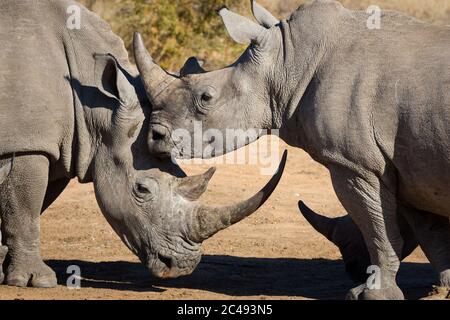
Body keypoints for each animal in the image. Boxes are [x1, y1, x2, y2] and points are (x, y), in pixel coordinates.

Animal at [0, 0, 284, 288]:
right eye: (142, 189)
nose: (182, 267)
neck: (94, 105)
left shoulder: (64, 145)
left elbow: (31, 205)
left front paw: (5, 270)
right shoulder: (31, 143)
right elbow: (26, 209)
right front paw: (36, 280)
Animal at [135, 0, 450, 300]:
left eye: (206, 97)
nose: (154, 136)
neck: (288, 62)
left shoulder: (355, 164)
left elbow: (378, 230)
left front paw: (373, 294)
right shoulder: (409, 167)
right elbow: (430, 233)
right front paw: (443, 289)